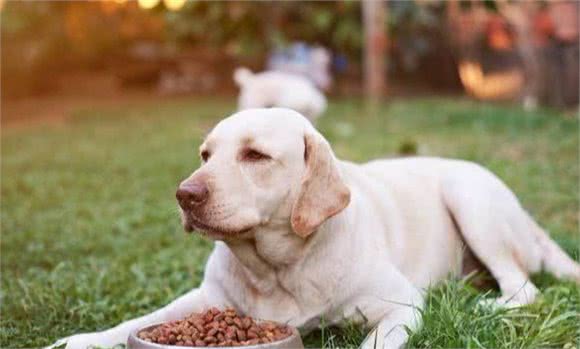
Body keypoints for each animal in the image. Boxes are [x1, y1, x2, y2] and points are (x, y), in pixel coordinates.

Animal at [51, 109, 580, 348]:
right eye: (205, 154)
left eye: (255, 155)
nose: (185, 194)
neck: (277, 267)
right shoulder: (205, 300)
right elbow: (139, 321)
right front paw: (82, 340)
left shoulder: (403, 305)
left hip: (468, 196)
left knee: (525, 288)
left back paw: (484, 304)